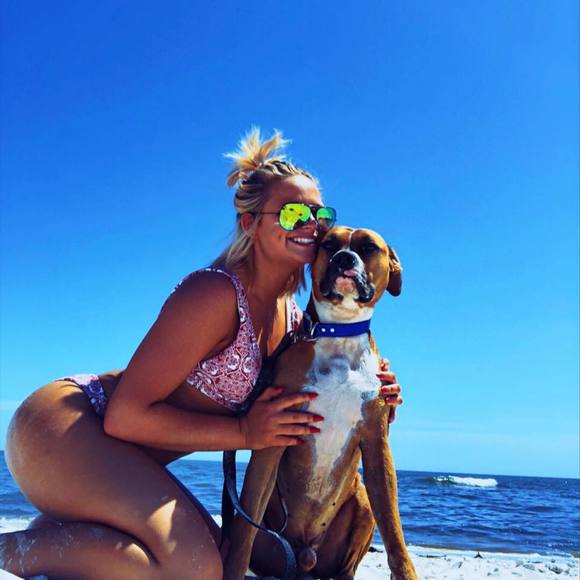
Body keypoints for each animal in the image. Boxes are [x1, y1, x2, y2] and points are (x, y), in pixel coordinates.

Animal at [223, 226, 417, 579]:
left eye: (368, 247)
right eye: (329, 244)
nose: (344, 258)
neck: (338, 331)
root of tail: (305, 557)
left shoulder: (377, 444)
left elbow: (394, 531)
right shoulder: (272, 442)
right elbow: (244, 531)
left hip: (363, 501)